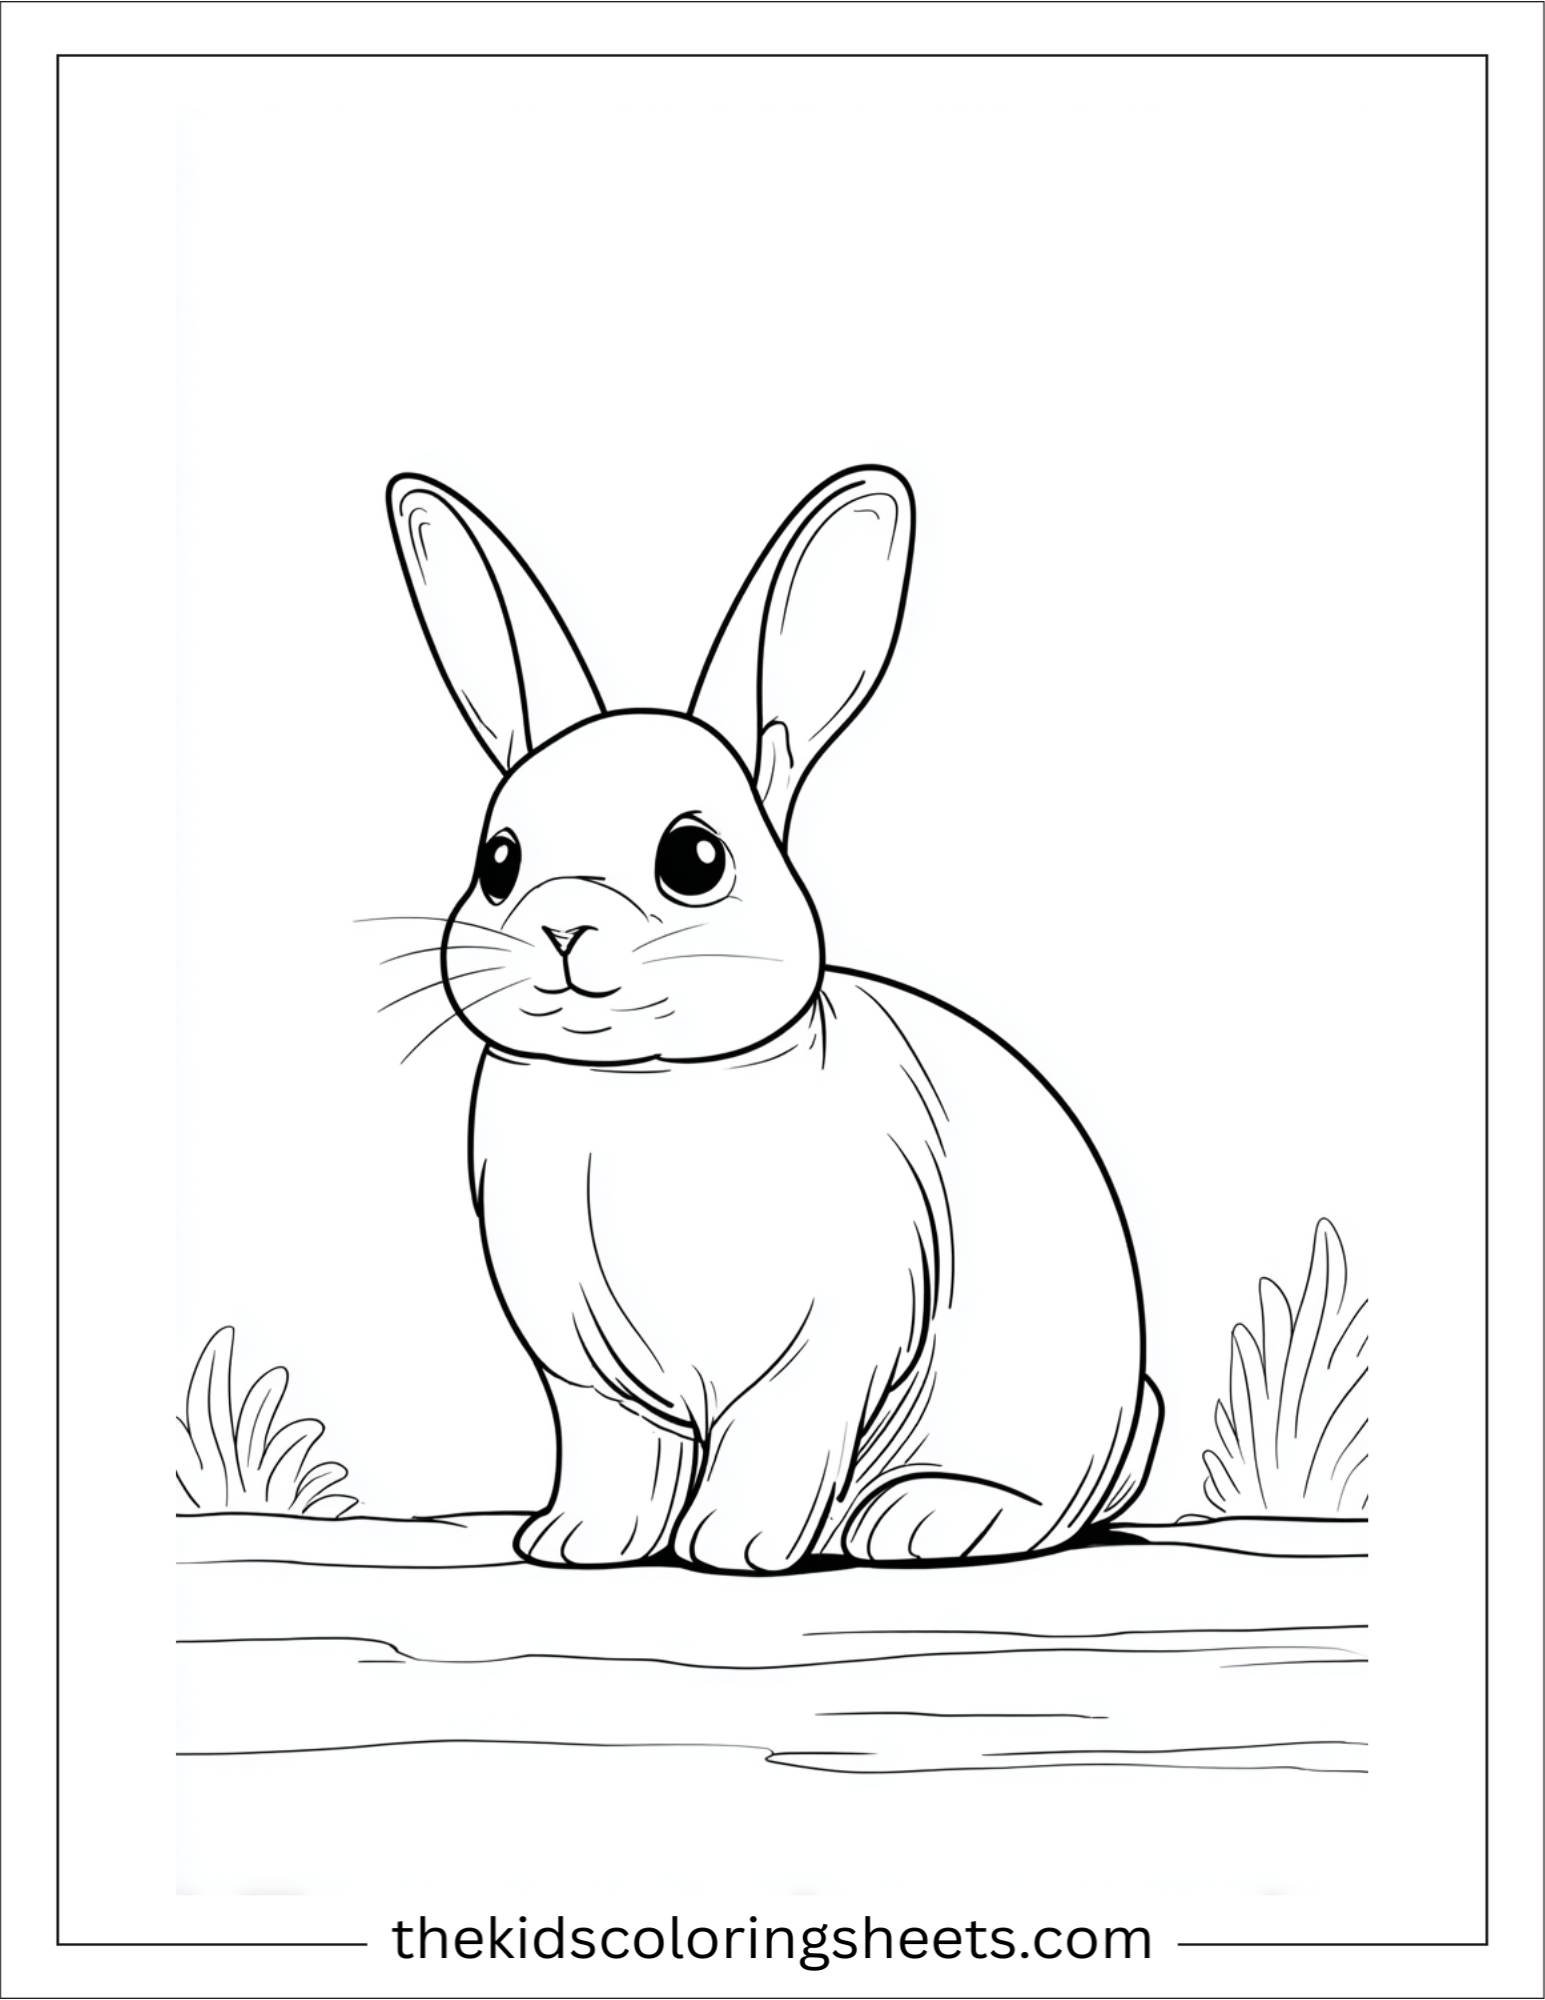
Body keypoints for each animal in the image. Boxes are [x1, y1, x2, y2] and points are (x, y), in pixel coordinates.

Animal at [385, 465, 1161, 1572]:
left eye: (694, 858)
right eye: (497, 863)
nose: (562, 920)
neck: (636, 1084)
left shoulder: (826, 1349)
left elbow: (776, 1441)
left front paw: (736, 1544)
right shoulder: (587, 1378)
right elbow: (615, 1456)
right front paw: (577, 1540)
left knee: (1041, 1500)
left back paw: (923, 1520)